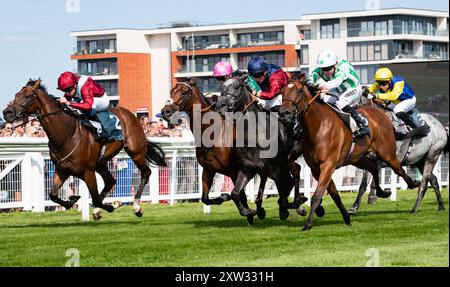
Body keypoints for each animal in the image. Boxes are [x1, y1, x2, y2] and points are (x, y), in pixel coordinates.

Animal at [1, 80, 167, 220]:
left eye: (28, 96)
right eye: (16, 95)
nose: (7, 112)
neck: (67, 134)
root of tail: (131, 115)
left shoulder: (87, 172)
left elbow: (95, 198)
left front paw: (112, 205)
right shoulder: (62, 170)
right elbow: (53, 195)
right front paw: (74, 200)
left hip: (135, 152)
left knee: (145, 173)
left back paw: (137, 207)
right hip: (101, 162)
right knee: (110, 181)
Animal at [160, 79, 308, 225]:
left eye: (184, 92)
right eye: (172, 91)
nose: (166, 111)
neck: (214, 133)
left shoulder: (233, 170)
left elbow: (240, 194)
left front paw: (249, 213)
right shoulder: (209, 169)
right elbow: (205, 198)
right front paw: (224, 197)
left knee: (293, 172)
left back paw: (295, 205)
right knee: (289, 172)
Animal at [280, 74, 420, 232]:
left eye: (299, 91)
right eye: (282, 91)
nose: (284, 113)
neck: (318, 126)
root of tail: (383, 114)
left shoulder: (327, 165)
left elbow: (317, 195)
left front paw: (308, 224)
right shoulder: (316, 168)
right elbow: (334, 194)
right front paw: (346, 217)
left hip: (387, 152)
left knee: (398, 168)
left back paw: (413, 183)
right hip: (357, 158)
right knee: (373, 168)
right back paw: (382, 192)